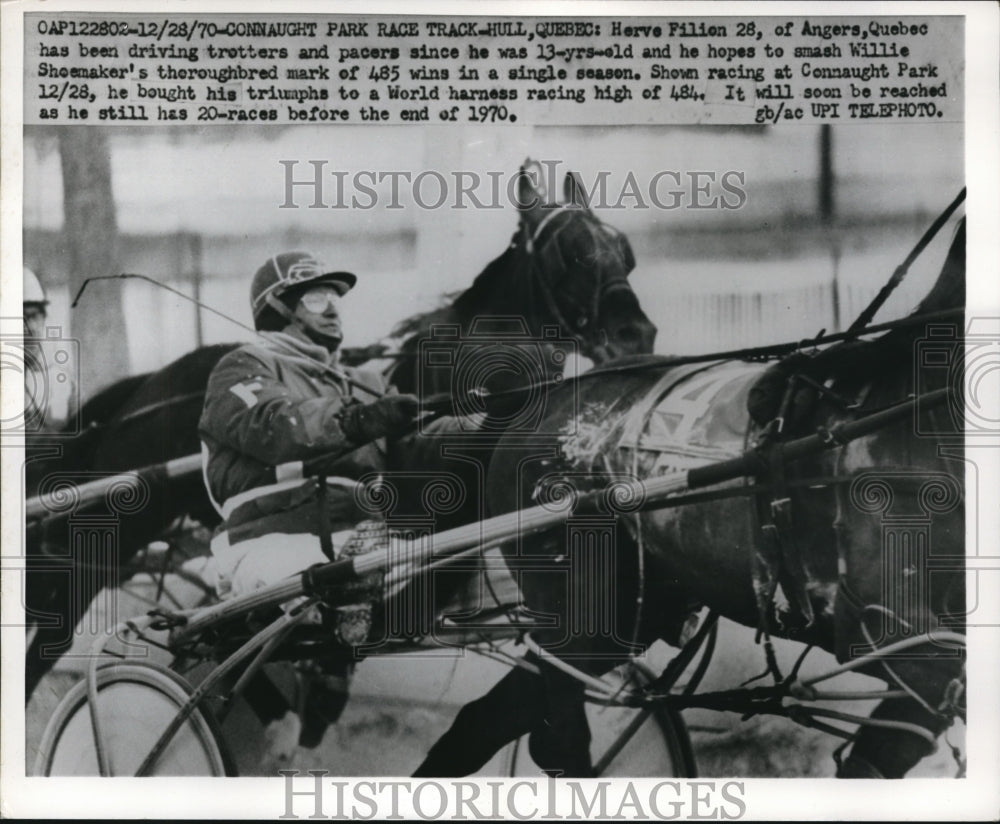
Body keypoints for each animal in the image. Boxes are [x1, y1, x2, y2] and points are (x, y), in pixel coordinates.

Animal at [23, 163, 656, 700]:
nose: (637, 334)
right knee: (52, 625)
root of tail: (146, 389)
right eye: (573, 253)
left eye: (626, 251)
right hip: (113, 533)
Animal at [418, 216, 964, 776]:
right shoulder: (887, 628)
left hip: (631, 611)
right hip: (578, 605)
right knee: (556, 740)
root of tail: (545, 396)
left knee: (484, 724)